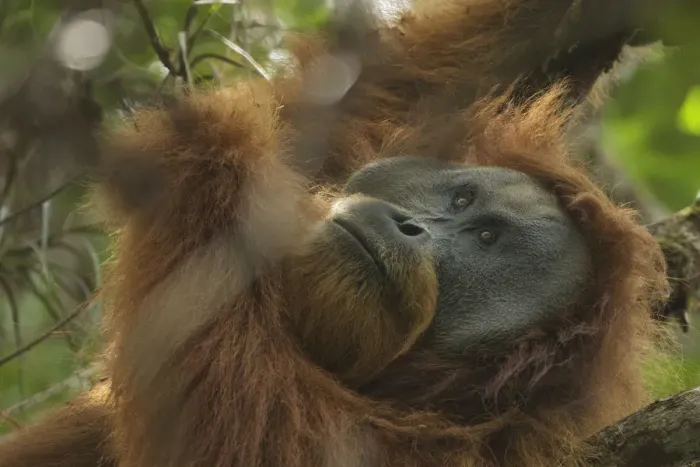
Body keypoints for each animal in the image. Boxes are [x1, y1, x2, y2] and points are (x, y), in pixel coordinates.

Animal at [0, 0, 673, 466]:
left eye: (484, 241)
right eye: (461, 199)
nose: (412, 225)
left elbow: (229, 433)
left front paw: (215, 160)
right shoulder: (396, 126)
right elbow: (403, 81)